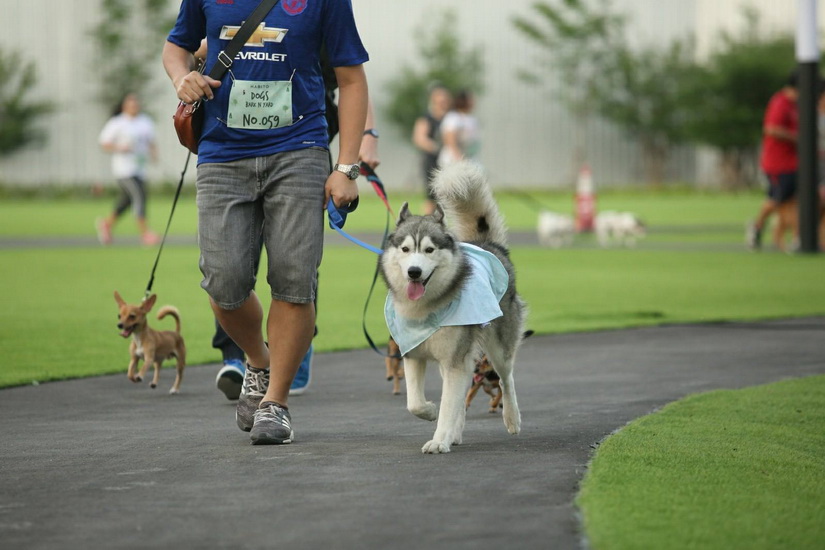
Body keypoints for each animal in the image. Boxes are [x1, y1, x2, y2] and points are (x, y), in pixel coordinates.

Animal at [382, 162, 528, 454]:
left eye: (429, 250)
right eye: (405, 249)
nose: (414, 272)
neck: (425, 310)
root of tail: (490, 246)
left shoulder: (455, 361)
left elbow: (449, 404)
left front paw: (439, 440)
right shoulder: (413, 355)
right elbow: (415, 403)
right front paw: (430, 412)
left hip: (498, 349)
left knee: (506, 379)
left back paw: (512, 418)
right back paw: (455, 432)